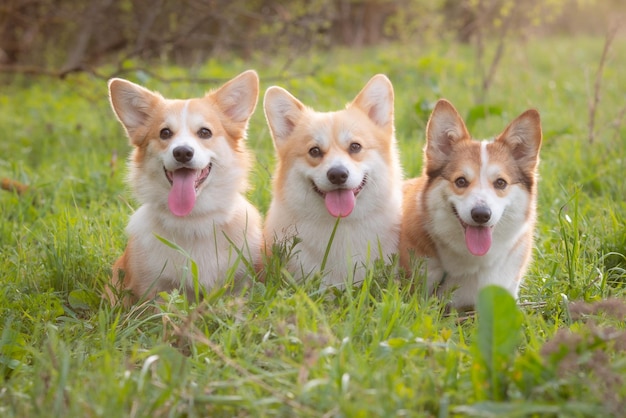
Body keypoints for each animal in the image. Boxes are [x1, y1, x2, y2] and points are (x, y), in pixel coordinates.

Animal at [106, 70, 260, 306]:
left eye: (205, 132)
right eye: (165, 133)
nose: (182, 153)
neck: (194, 221)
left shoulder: (241, 283)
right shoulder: (153, 292)